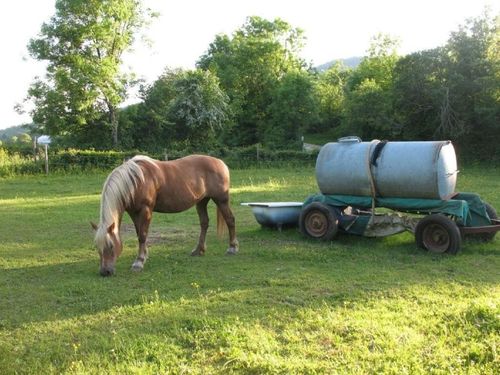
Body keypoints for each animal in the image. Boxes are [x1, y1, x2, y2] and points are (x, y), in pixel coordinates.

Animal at [91, 155, 238, 276]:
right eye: (97, 246)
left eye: (110, 246)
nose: (105, 272)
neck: (136, 181)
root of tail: (220, 162)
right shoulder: (133, 212)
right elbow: (139, 233)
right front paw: (144, 256)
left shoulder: (145, 210)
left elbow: (142, 235)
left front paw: (139, 262)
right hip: (201, 201)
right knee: (204, 223)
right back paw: (198, 250)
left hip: (221, 200)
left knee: (230, 220)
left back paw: (232, 248)